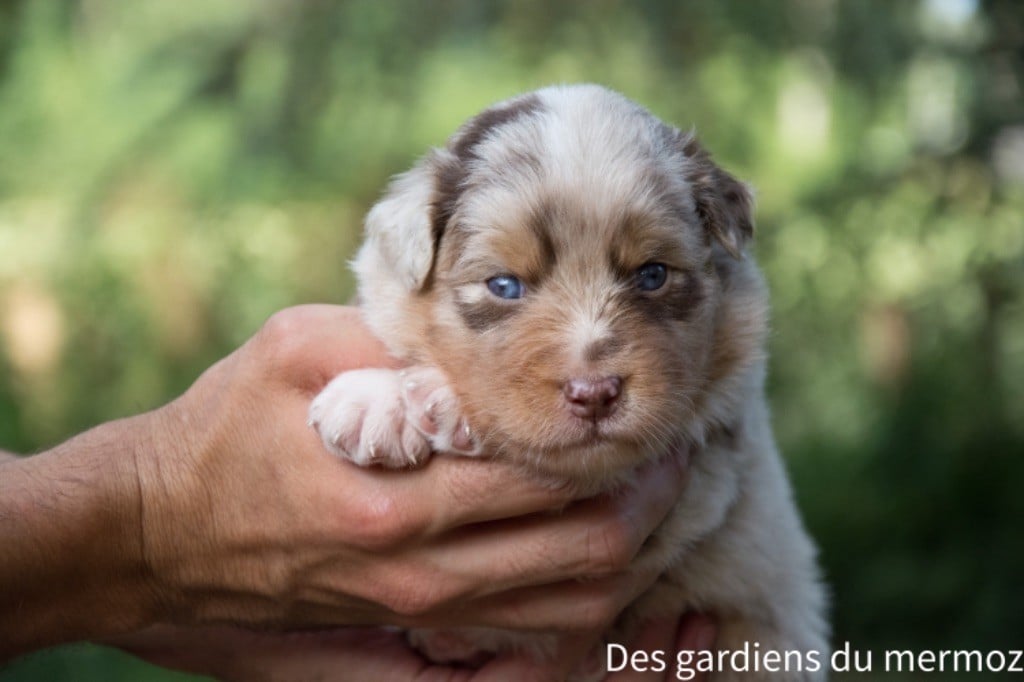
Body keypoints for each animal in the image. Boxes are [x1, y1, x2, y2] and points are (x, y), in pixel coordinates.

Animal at [307, 83, 827, 675]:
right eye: (504, 285)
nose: (594, 394)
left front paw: (436, 403)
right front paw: (379, 404)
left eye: (653, 274)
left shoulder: (711, 463)